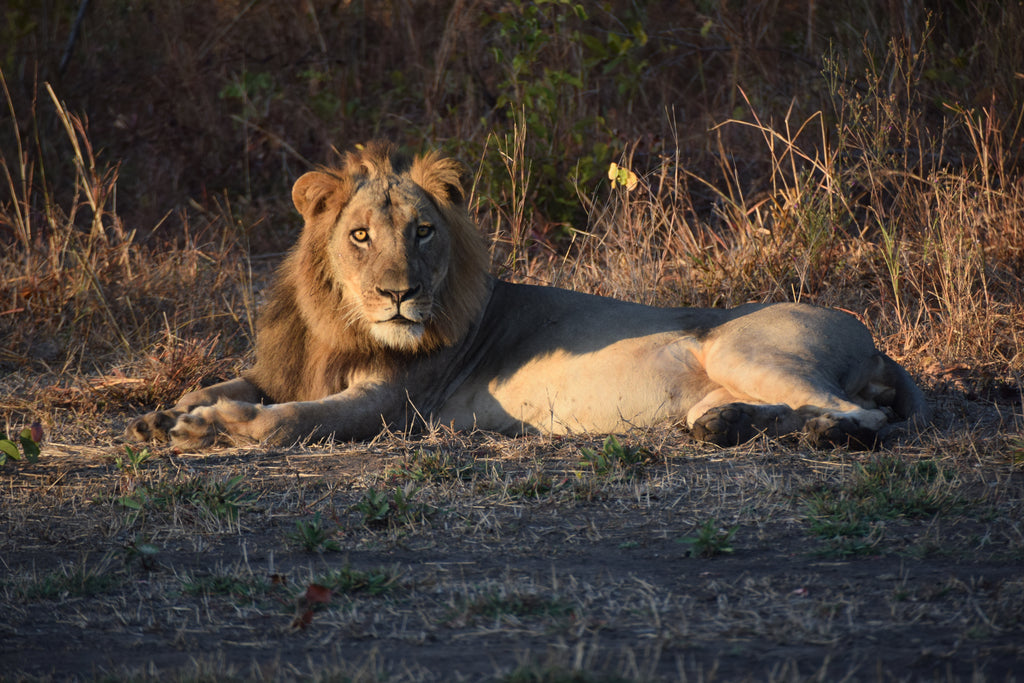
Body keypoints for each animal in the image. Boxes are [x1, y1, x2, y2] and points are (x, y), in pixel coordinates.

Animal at [126, 141, 929, 451]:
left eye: (423, 231)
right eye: (359, 235)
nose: (398, 294)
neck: (339, 322)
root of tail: (878, 342)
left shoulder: (391, 407)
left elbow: (286, 421)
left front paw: (205, 426)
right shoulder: (284, 368)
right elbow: (228, 382)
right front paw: (167, 412)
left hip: (745, 347)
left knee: (863, 417)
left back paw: (826, 435)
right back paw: (729, 424)